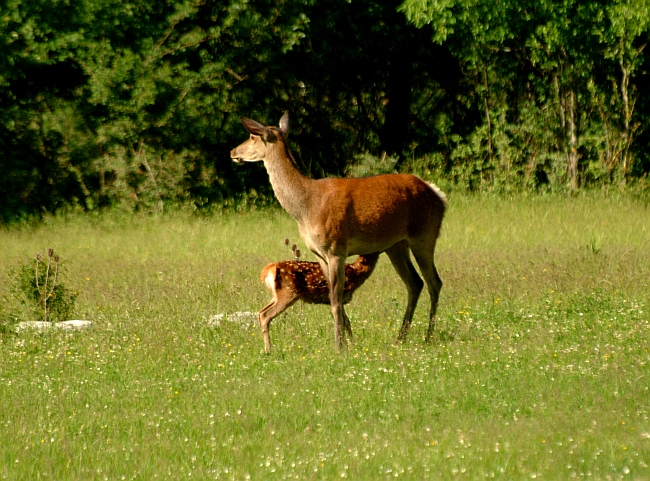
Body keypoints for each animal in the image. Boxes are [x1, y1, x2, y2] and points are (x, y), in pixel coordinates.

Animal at [230, 111, 448, 346]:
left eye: (252, 136)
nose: (233, 152)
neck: (306, 207)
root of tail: (438, 195)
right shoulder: (320, 254)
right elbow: (336, 299)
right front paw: (346, 342)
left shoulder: (336, 248)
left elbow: (336, 300)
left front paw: (339, 345)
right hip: (396, 244)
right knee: (415, 283)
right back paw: (401, 337)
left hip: (424, 235)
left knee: (434, 282)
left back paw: (428, 336)